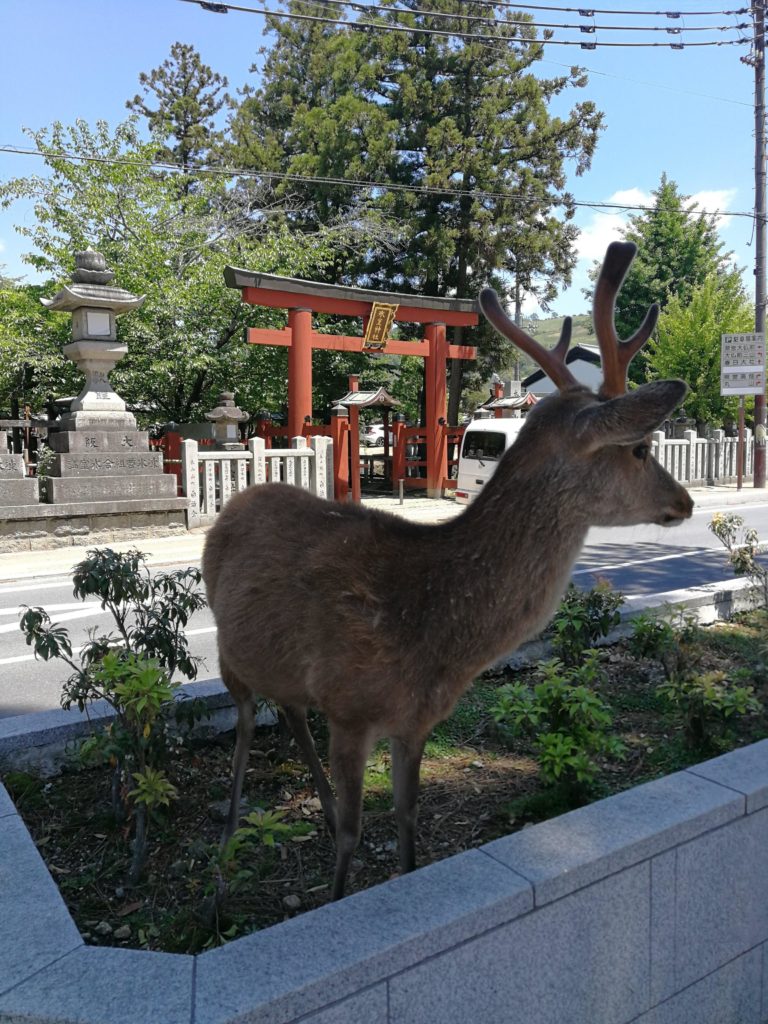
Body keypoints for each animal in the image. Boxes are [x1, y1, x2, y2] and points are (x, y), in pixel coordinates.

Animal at [202, 241, 693, 901]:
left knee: (290, 711)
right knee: (247, 721)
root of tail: (236, 501)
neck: (434, 631)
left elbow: (409, 823)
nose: (684, 501)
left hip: (282, 666)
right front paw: (336, 892)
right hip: (231, 655)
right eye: (640, 448)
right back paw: (226, 847)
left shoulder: (415, 723)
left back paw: (314, 811)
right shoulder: (350, 708)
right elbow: (356, 833)